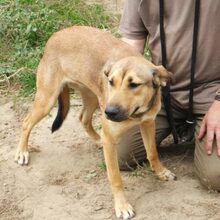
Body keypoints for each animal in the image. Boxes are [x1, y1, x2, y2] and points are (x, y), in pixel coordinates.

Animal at [15, 26, 175, 219]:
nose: (110, 112)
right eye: (111, 82)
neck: (136, 113)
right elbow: (115, 177)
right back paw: (22, 152)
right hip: (47, 100)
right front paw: (121, 206)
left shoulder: (148, 123)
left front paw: (161, 172)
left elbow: (152, 153)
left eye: (134, 84)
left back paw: (98, 140)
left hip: (91, 96)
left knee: (83, 118)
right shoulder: (112, 137)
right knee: (26, 122)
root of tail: (55, 35)